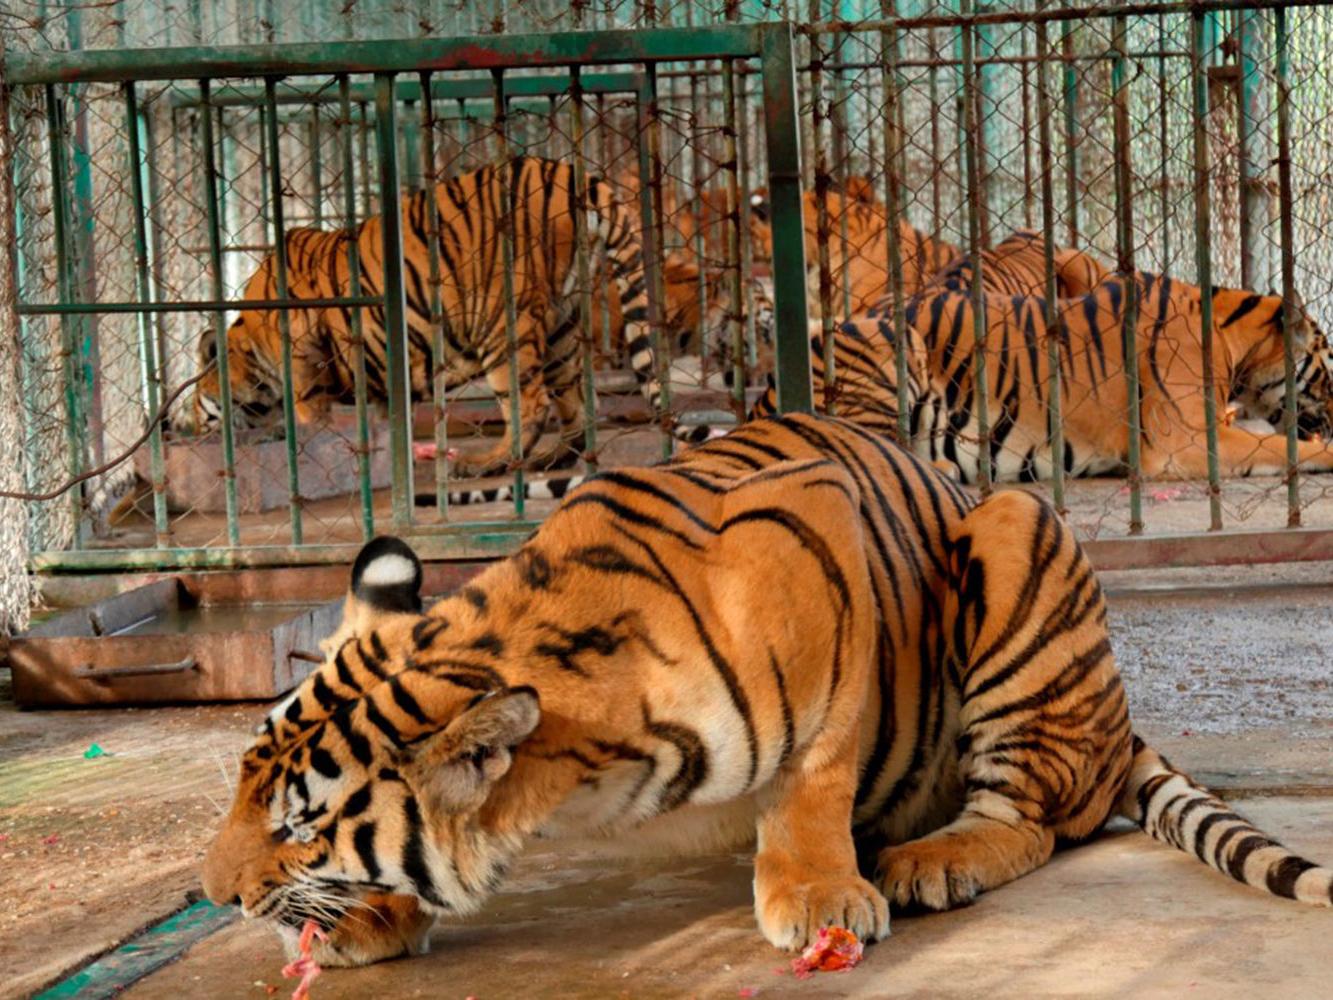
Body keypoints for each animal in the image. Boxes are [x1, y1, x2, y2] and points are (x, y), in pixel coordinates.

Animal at [187, 157, 665, 478]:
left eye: (200, 408)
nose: (191, 432)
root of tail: (567, 173)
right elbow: (385, 422)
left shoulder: (306, 359)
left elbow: (311, 418)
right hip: (562, 325)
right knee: (579, 404)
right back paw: (553, 459)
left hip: (501, 324)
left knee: (531, 405)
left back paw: (484, 465)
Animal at [202, 413, 1333, 972]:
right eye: (244, 784)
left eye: (300, 825)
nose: (215, 895)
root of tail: (1118, 721)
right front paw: (369, 916)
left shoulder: (815, 548)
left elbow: (813, 769)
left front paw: (817, 893)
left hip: (1019, 530)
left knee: (1038, 817)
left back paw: (928, 859)